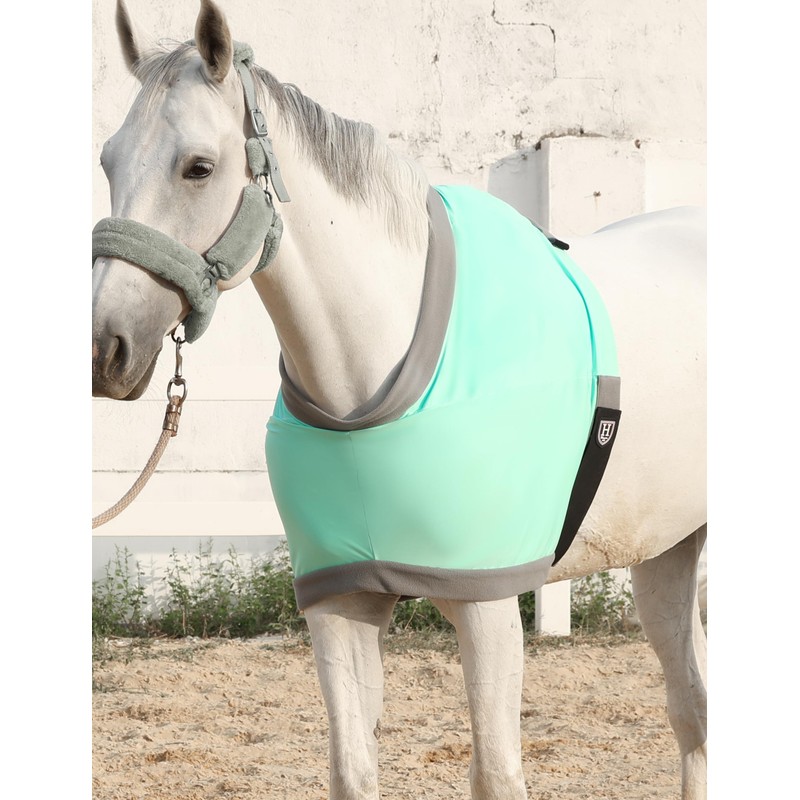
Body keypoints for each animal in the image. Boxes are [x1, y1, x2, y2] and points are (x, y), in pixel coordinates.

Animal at [91, 2, 707, 798]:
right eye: (109, 160)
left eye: (198, 167)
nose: (106, 348)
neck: (373, 369)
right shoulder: (340, 604)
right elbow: (353, 769)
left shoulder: (488, 606)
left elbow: (496, 772)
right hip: (666, 550)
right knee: (692, 708)